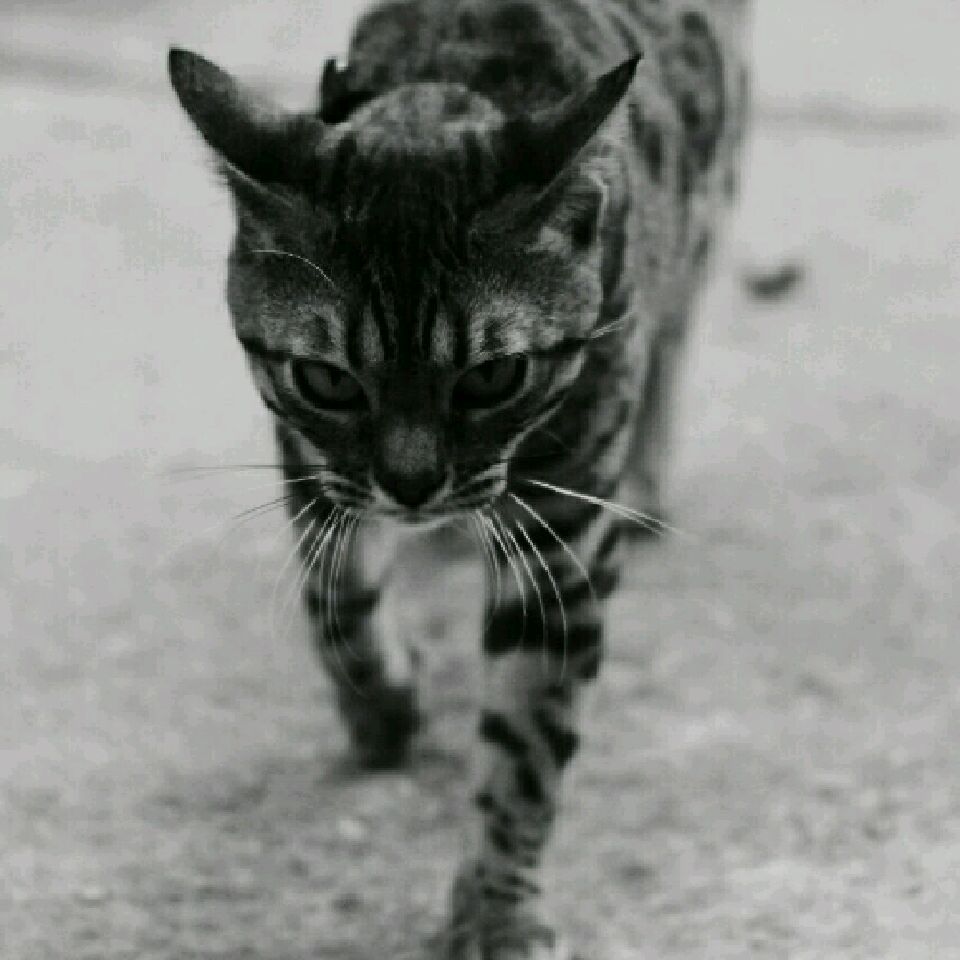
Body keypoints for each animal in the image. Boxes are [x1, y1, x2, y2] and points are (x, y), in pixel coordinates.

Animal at [168, 0, 752, 955]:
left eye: (493, 377)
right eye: (327, 379)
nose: (413, 486)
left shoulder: (560, 538)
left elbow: (526, 749)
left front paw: (496, 905)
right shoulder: (312, 461)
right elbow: (336, 603)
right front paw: (381, 709)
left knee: (679, 326)